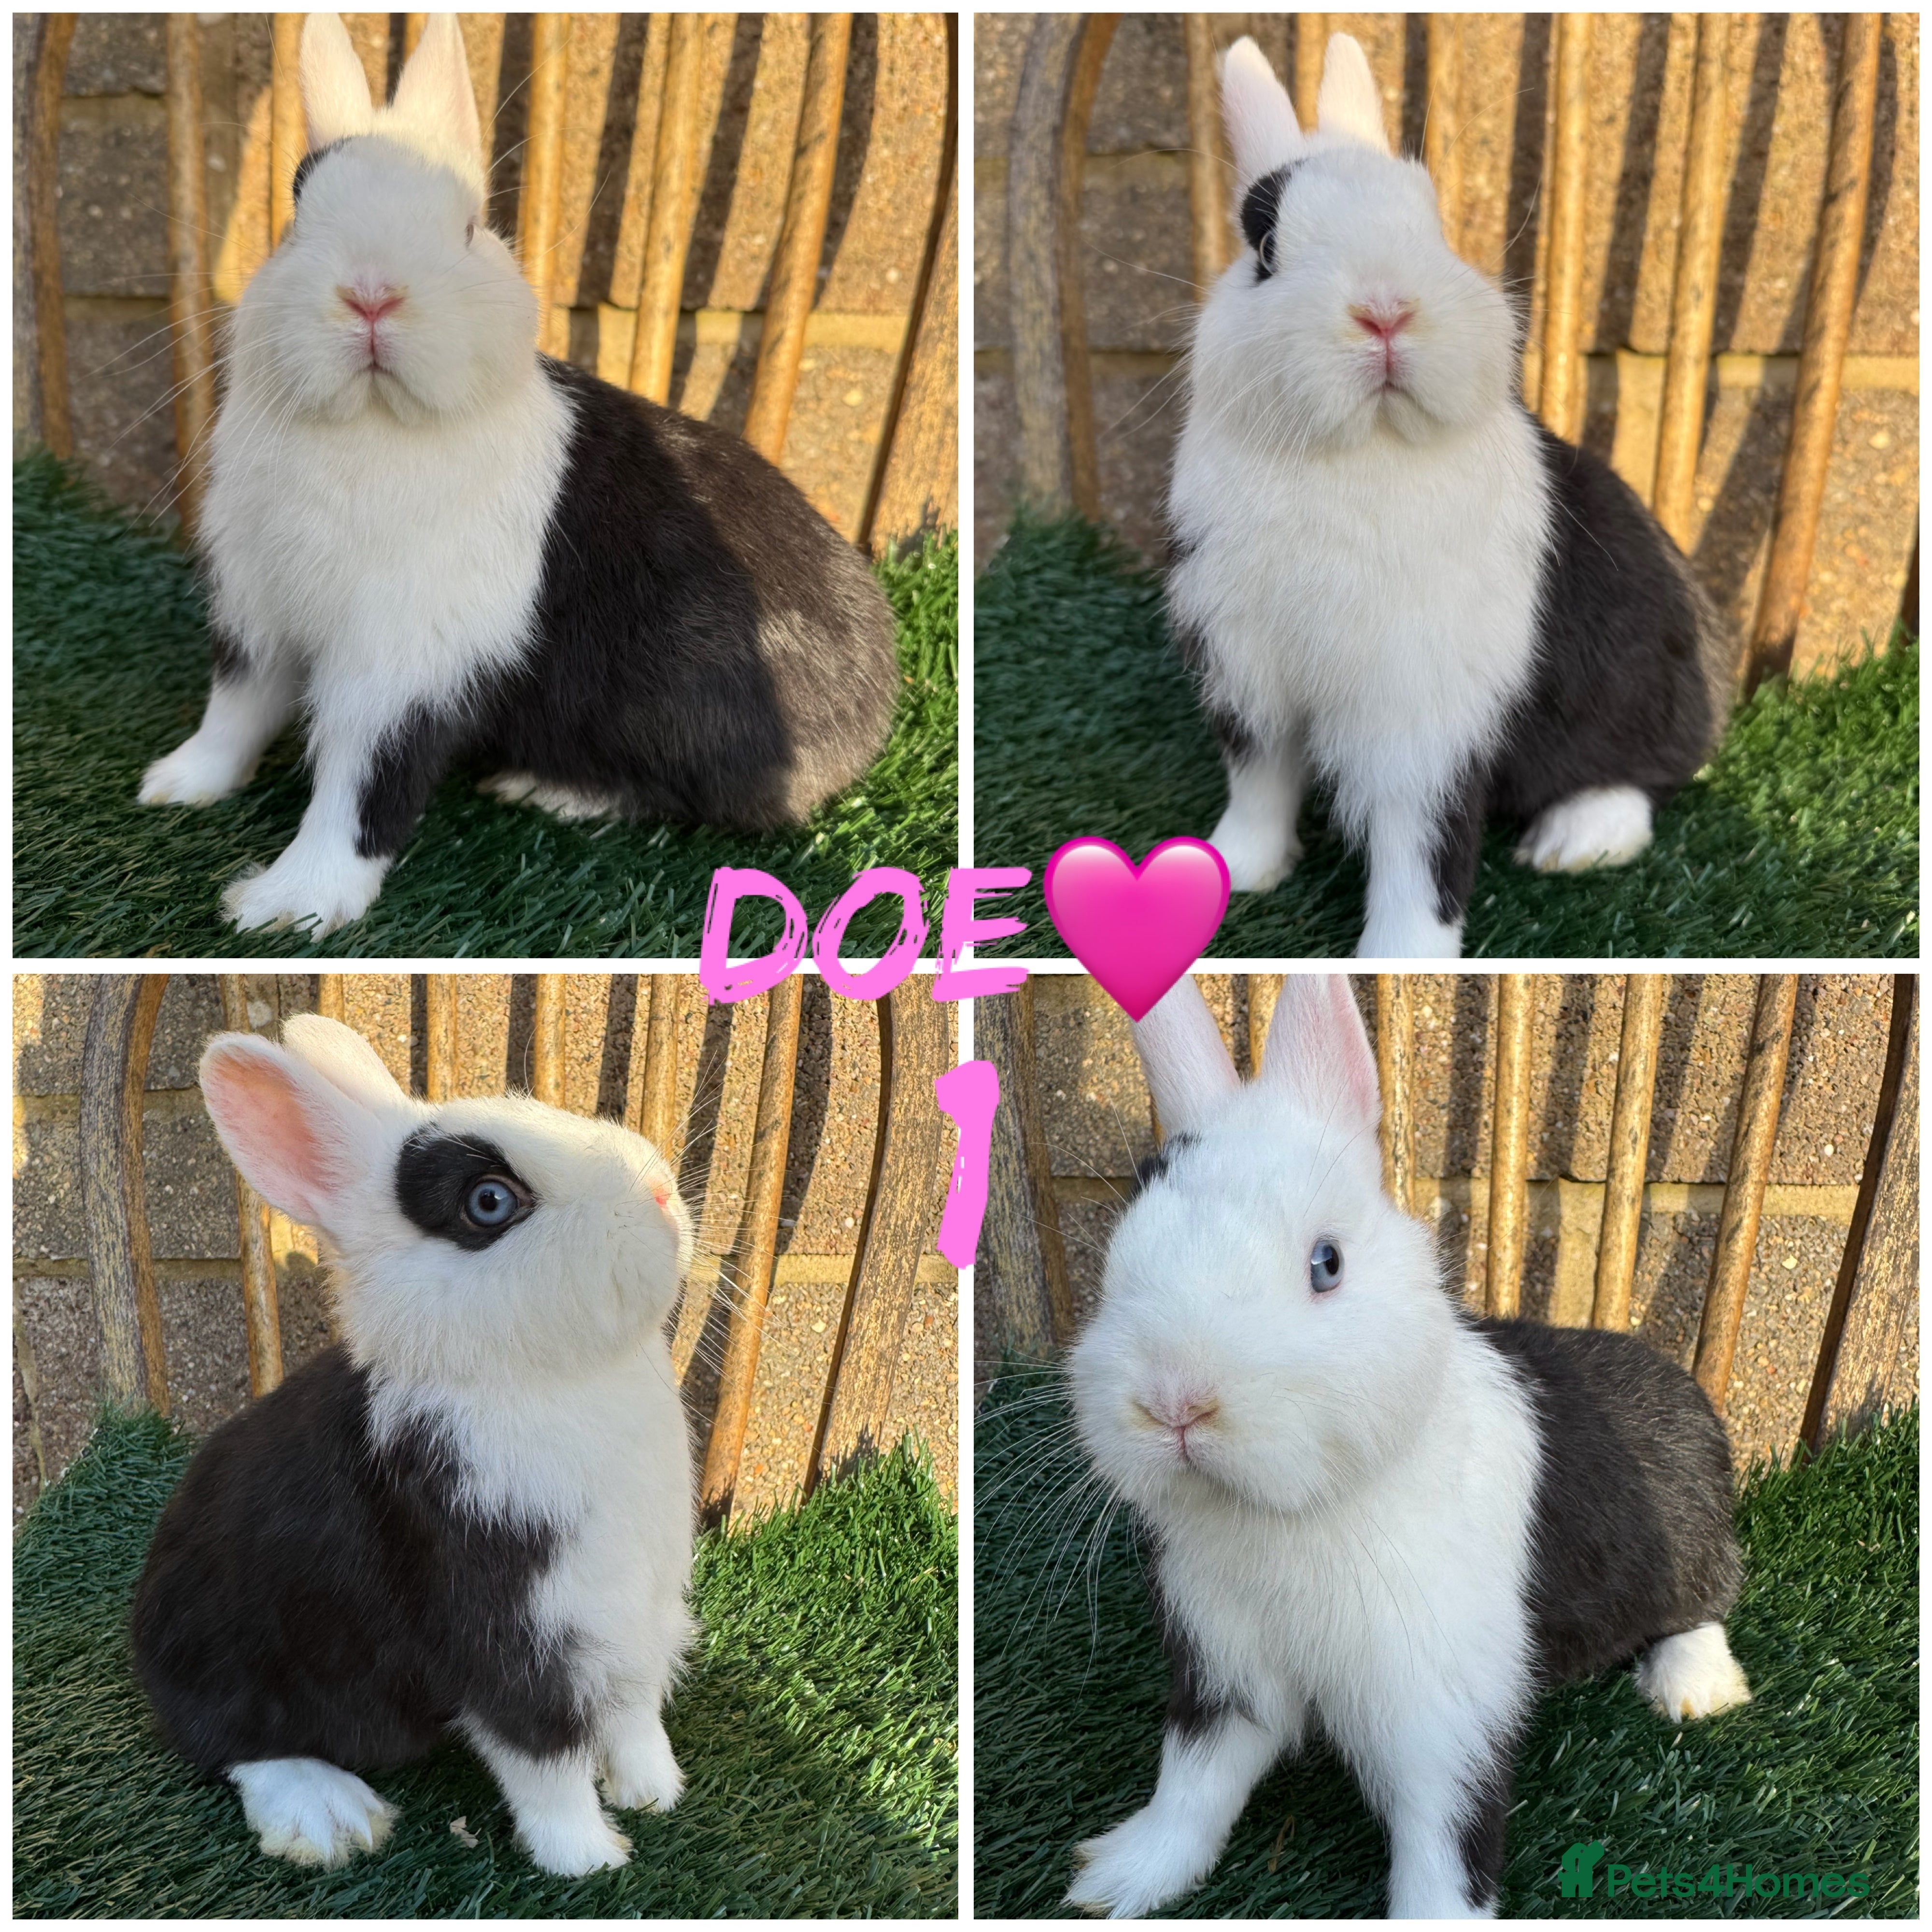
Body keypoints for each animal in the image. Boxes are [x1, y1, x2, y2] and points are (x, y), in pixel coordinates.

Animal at [131, 1013, 698, 1876]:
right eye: (490, 1202)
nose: (661, 1193)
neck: (547, 1383)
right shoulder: (509, 1636)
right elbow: (546, 1762)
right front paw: (589, 1861)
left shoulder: (634, 1616)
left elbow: (636, 1718)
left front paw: (657, 1794)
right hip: (227, 1661)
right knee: (231, 1746)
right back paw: (328, 1817)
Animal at [138, 13, 899, 937]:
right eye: (295, 210)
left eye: (470, 227)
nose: (371, 293)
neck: (374, 428)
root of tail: (874, 714)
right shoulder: (258, 612)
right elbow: (235, 712)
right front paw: (176, 785)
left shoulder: (402, 661)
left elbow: (363, 782)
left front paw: (290, 906)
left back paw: (553, 790)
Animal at [1063, 975, 1751, 1918]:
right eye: (1117, 1264)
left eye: (1326, 1264)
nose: (1176, 1403)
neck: (1301, 1512)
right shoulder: (1226, 1673)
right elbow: (1192, 1787)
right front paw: (1120, 1880)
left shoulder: (1442, 1711)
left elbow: (1445, 1841)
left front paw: (1434, 1918)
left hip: (1689, 1545)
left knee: (1705, 1603)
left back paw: (1695, 1692)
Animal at [1167, 35, 1734, 958]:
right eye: (1264, 246)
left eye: (1435, 228)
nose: (1385, 309)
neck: (1358, 455)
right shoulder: (1250, 677)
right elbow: (1259, 787)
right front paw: (1231, 874)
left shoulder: (1425, 715)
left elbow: (1420, 844)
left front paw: (1402, 957)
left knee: (1643, 781)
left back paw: (1573, 841)